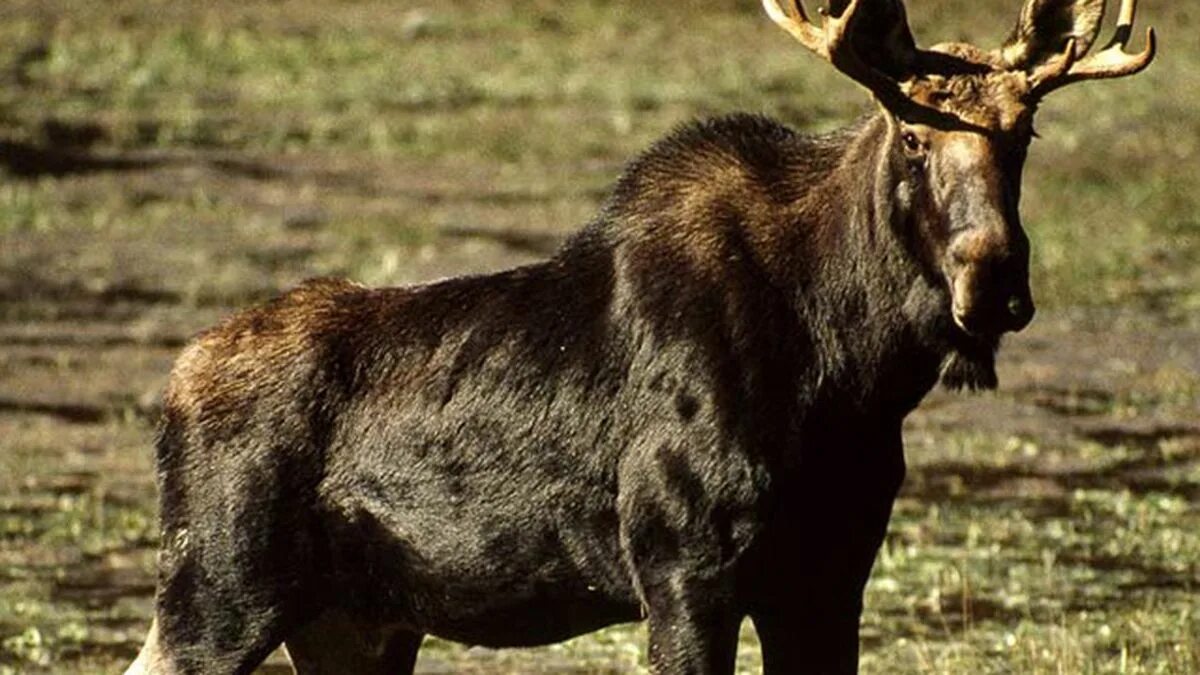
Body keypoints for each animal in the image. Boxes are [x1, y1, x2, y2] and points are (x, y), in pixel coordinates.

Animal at [124, 1, 1152, 672]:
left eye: (1024, 137)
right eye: (911, 134)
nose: (995, 280)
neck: (854, 377)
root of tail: (172, 387)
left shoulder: (828, 575)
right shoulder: (684, 564)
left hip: (354, 621)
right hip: (217, 589)